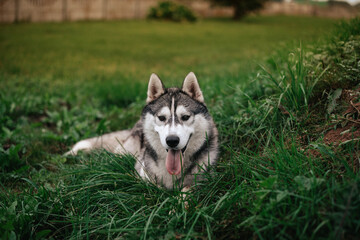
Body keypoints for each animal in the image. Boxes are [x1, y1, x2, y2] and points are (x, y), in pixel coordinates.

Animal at [68, 72, 219, 190]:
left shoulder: (203, 176)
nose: (172, 140)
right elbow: (153, 185)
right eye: (162, 118)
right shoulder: (142, 171)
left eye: (185, 117)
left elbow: (188, 190)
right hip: (125, 151)